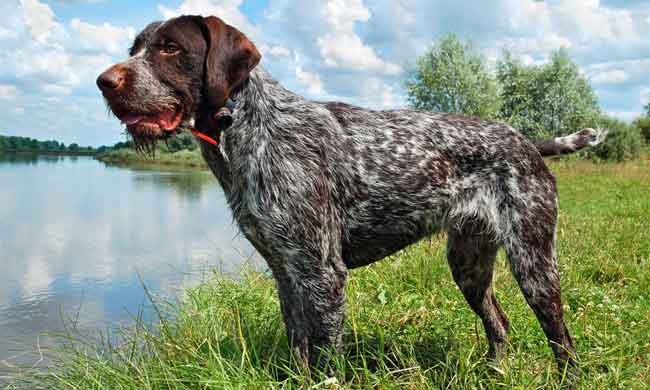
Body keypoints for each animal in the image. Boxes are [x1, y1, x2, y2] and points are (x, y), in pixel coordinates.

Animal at [96, 16, 604, 378]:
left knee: (562, 341)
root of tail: (526, 142)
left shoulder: (322, 274)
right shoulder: (287, 272)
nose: (104, 81)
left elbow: (326, 359)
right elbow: (299, 349)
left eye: (171, 48)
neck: (246, 128)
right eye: (134, 48)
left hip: (533, 263)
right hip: (469, 265)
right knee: (499, 324)